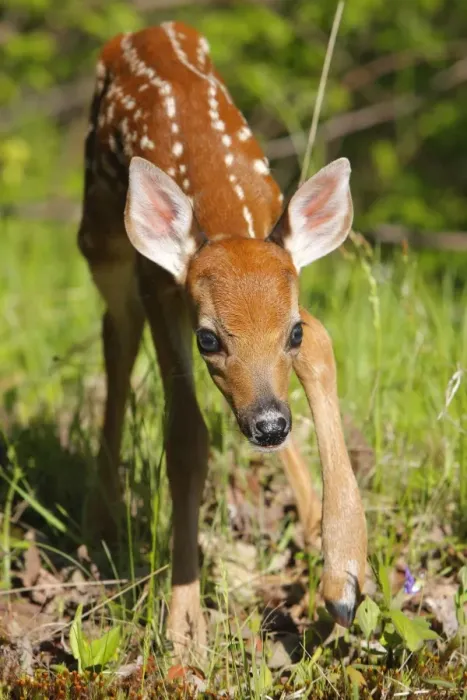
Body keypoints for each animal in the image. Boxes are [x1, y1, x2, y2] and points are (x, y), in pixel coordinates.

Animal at [78, 21, 367, 658]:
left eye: (291, 330)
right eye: (208, 338)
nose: (269, 424)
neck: (226, 215)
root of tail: (144, 29)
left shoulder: (292, 278)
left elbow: (324, 350)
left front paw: (343, 573)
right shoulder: (158, 285)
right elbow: (186, 436)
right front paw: (185, 626)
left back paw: (308, 515)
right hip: (100, 236)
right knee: (116, 334)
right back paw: (101, 515)